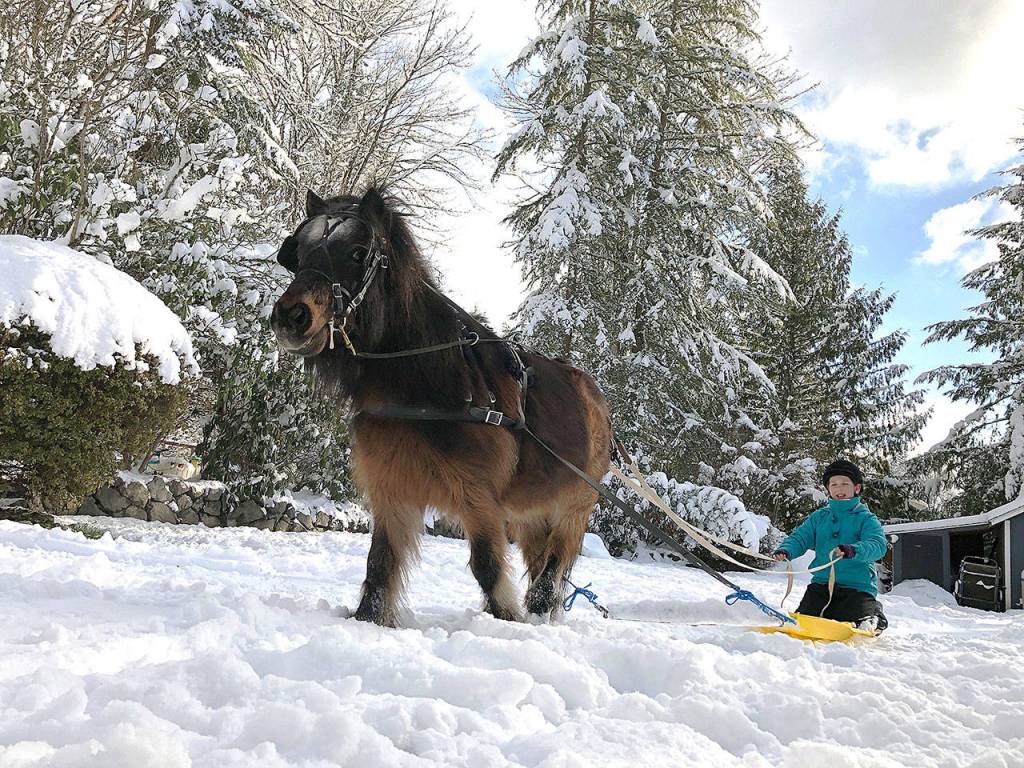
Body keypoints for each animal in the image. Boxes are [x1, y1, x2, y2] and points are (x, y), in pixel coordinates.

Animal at [270, 186, 611, 626]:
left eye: (359, 252)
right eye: (298, 251)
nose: (291, 316)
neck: (426, 385)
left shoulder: (478, 496)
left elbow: (487, 567)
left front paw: (506, 621)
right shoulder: (392, 489)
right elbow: (380, 564)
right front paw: (369, 618)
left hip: (574, 506)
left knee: (553, 568)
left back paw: (537, 612)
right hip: (531, 511)